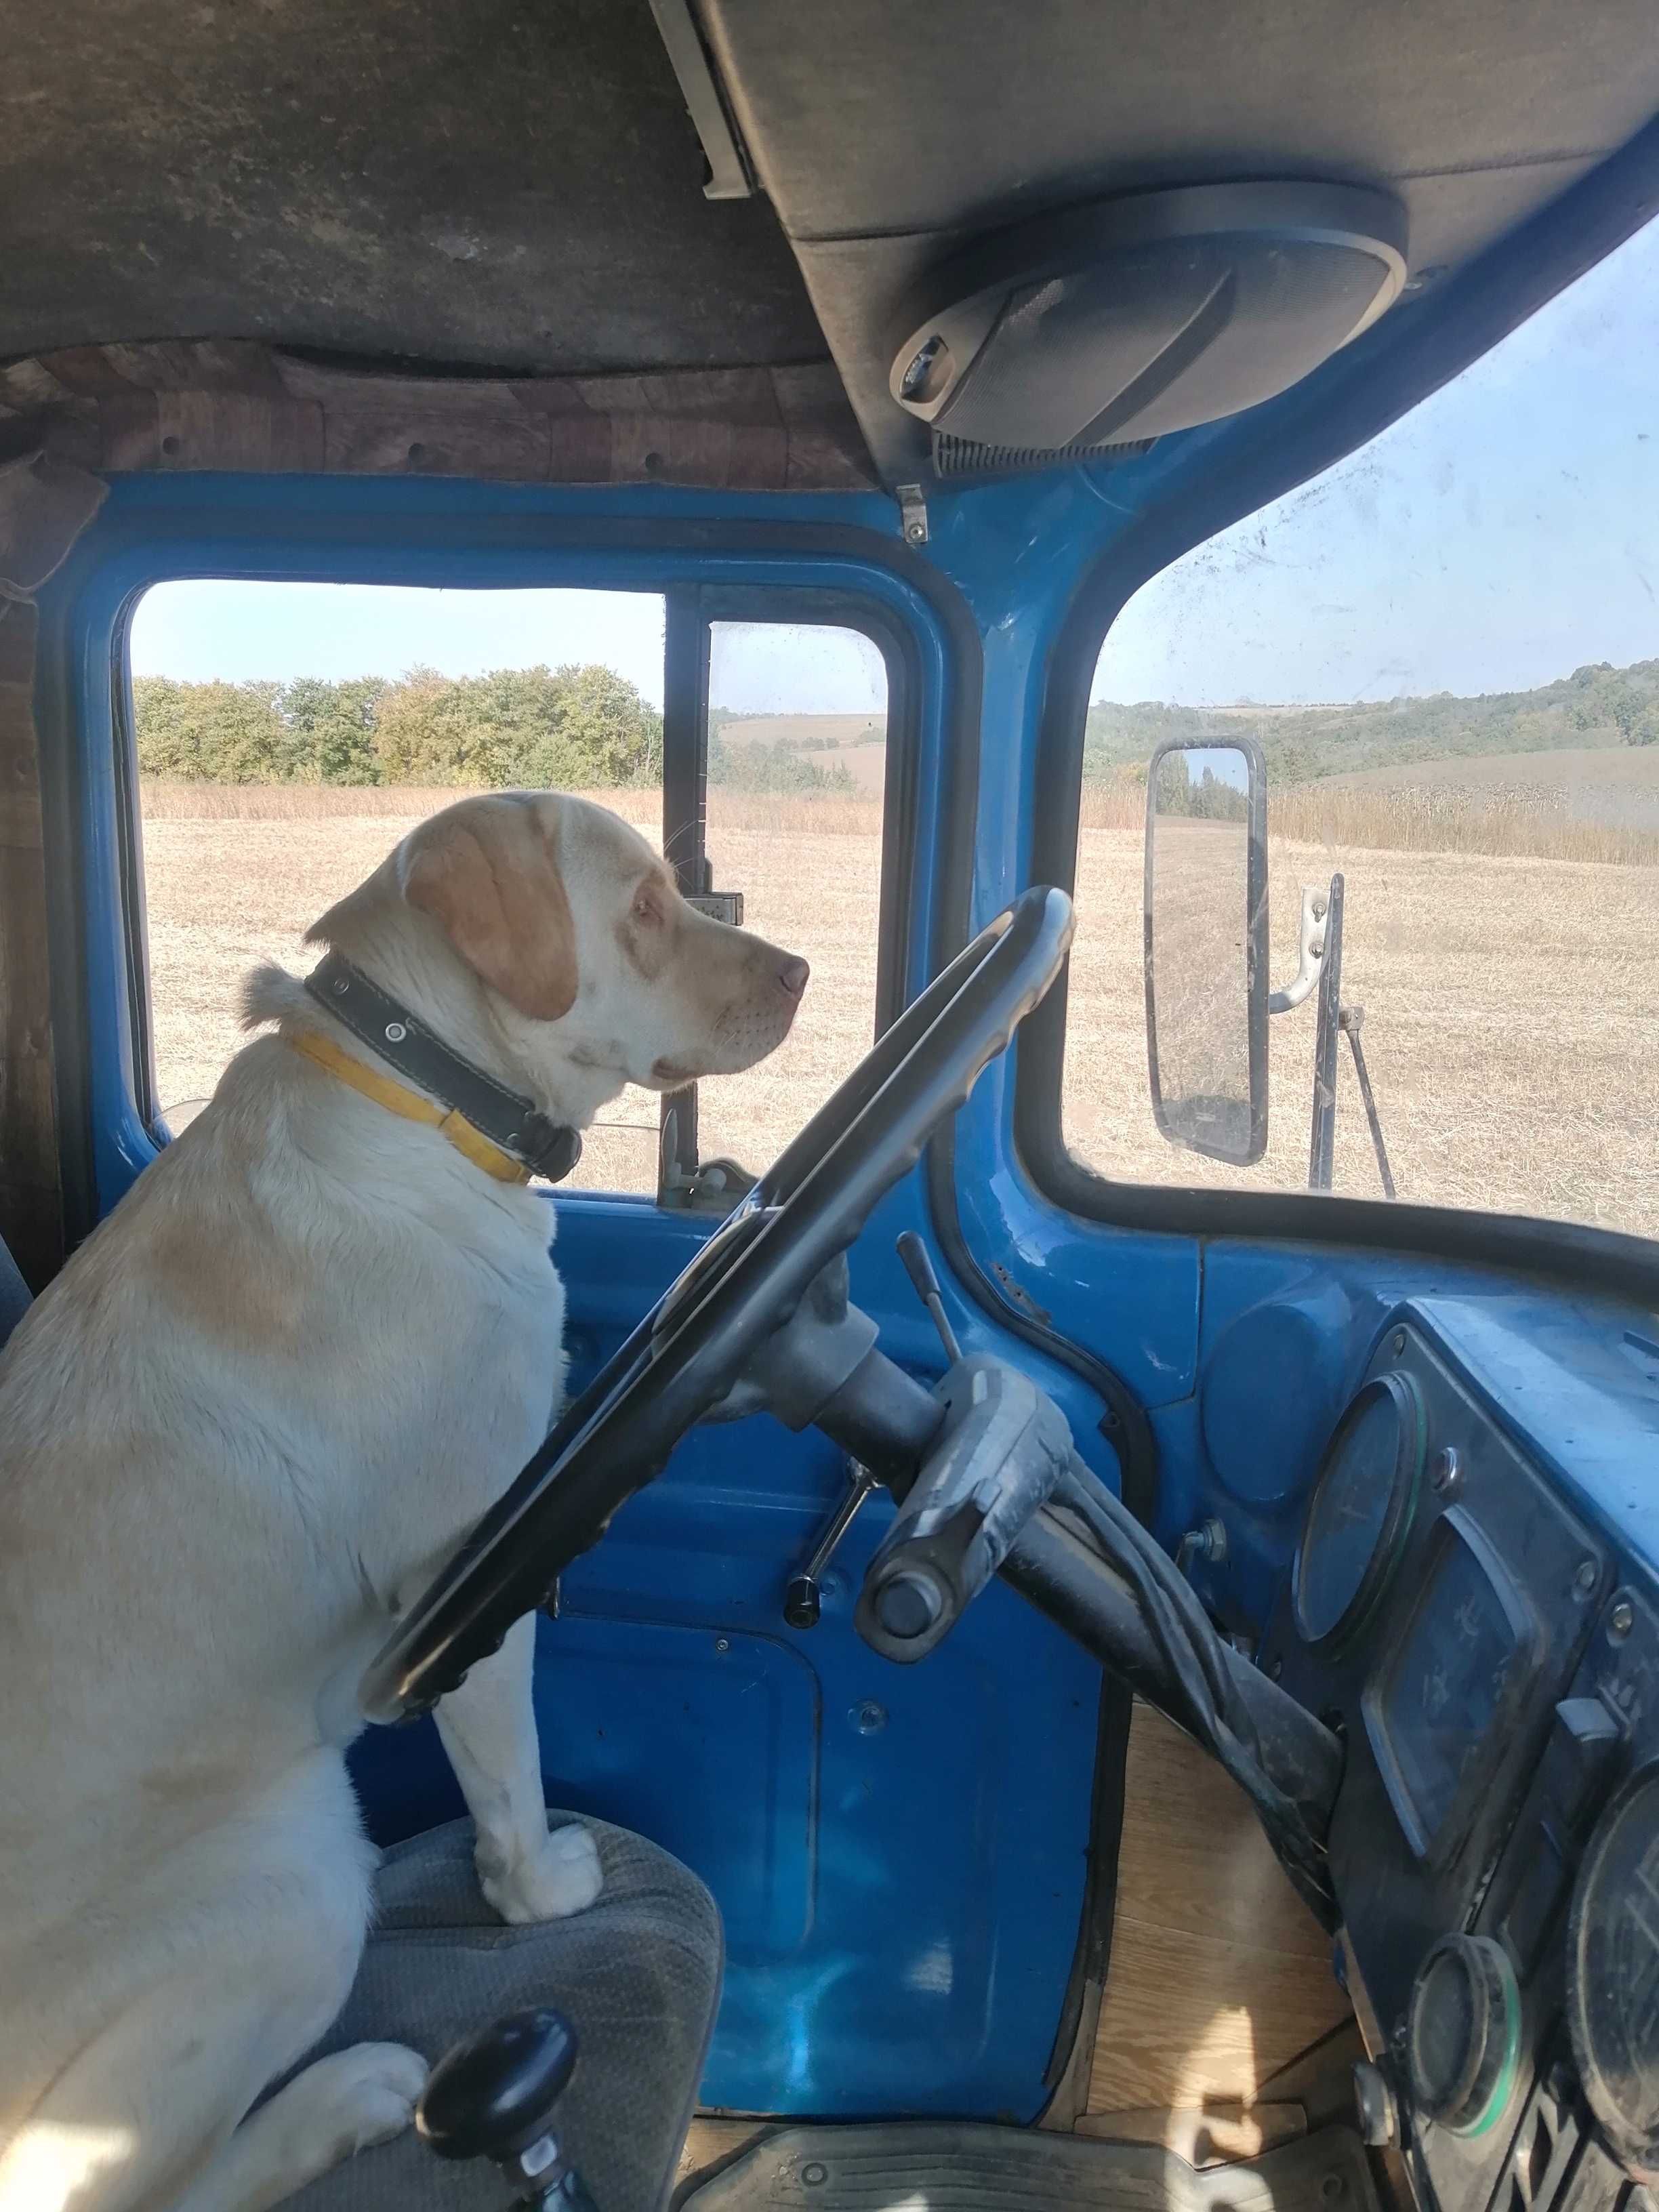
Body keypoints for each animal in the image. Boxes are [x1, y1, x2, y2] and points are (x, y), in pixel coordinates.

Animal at [0, 796, 814, 2212]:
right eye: (643, 905)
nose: (804, 972)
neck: (424, 1091)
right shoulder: (466, 1565)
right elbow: (507, 1776)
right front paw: (537, 1887)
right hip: (300, 1866)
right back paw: (344, 2094)